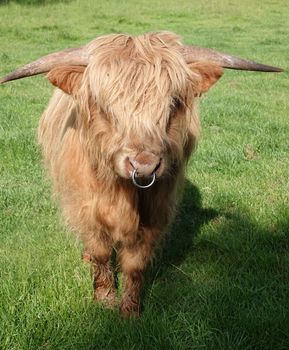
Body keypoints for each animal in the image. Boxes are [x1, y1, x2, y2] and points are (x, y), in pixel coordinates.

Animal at [0, 32, 282, 318]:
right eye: (104, 107)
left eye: (173, 103)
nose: (144, 165)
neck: (123, 193)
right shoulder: (86, 210)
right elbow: (101, 253)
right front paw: (105, 301)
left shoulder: (156, 213)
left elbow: (135, 264)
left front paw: (130, 311)